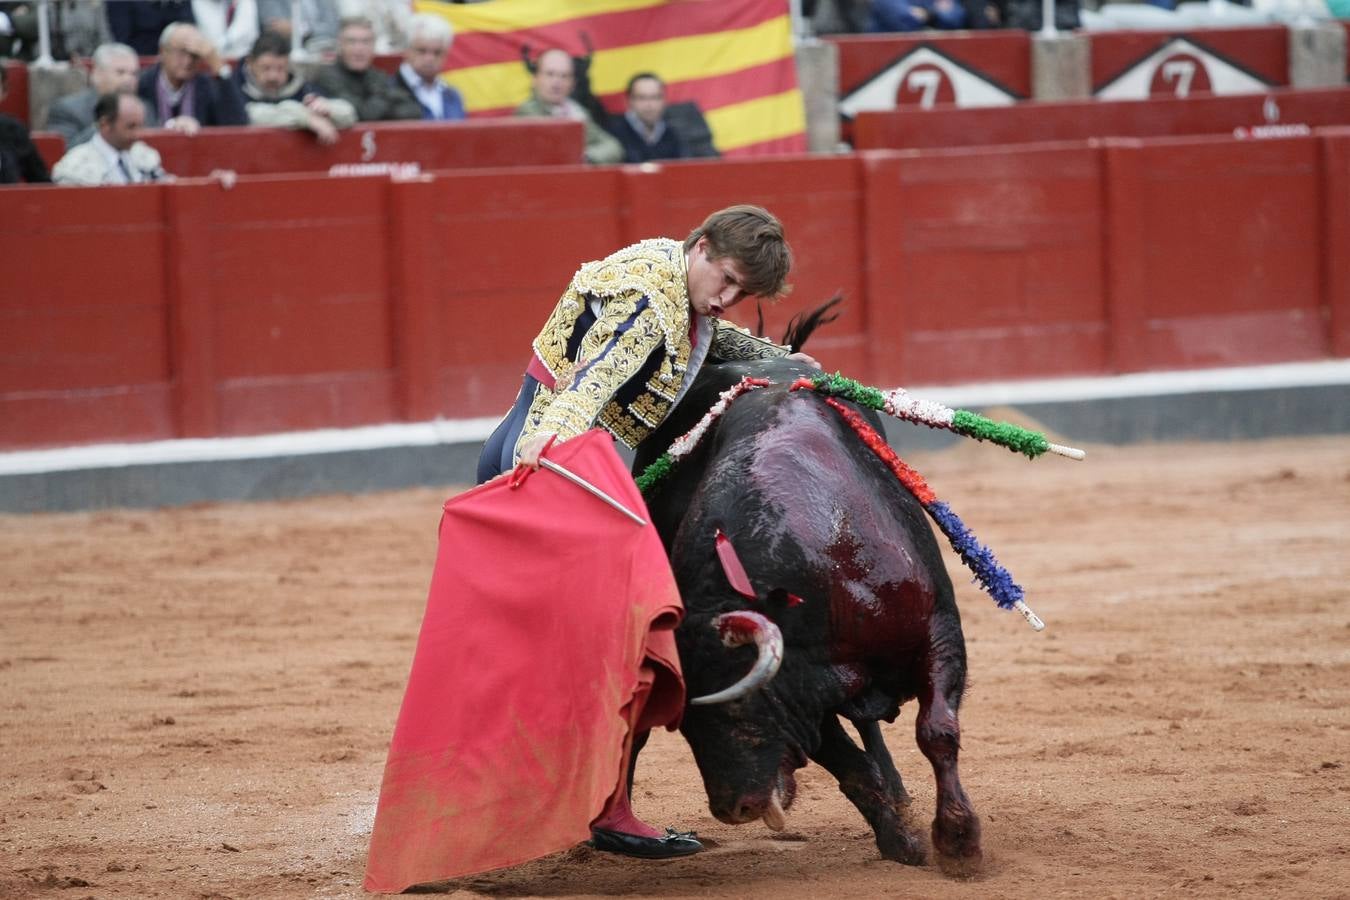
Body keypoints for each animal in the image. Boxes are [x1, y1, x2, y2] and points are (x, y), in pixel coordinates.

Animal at [631, 307, 982, 874]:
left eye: (734, 708)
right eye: (681, 723)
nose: (732, 809)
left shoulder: (939, 631)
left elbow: (937, 731)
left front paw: (958, 841)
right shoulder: (800, 694)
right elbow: (852, 768)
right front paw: (901, 840)